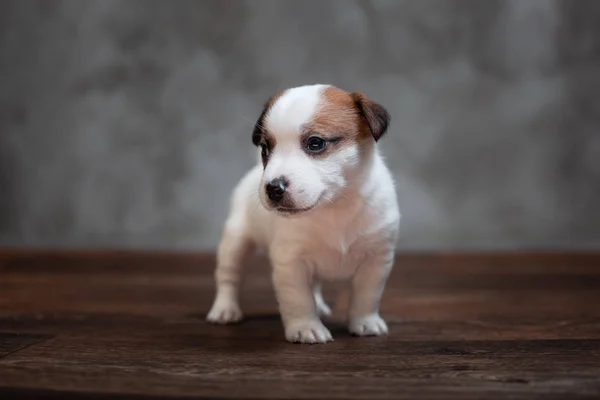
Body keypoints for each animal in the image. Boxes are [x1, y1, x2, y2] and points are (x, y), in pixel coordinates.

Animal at [206, 84, 398, 344]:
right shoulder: (290, 262)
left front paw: (365, 322)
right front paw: (306, 327)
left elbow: (367, 296)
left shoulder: (376, 260)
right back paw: (225, 309)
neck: (334, 207)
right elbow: (298, 299)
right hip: (235, 241)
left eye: (315, 143)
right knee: (229, 276)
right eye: (265, 148)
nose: (273, 188)